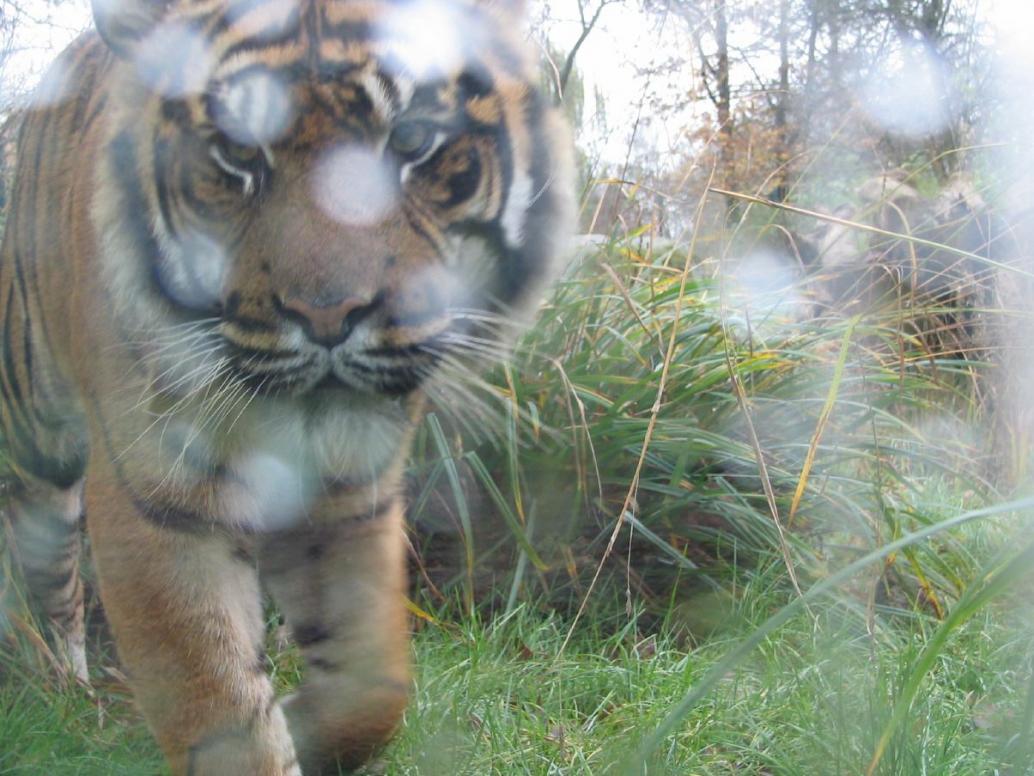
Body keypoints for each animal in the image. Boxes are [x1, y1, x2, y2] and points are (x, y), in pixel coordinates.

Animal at [0, 0, 573, 771]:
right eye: (236, 156)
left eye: (411, 139)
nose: (327, 316)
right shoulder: (160, 503)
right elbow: (218, 702)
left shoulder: (354, 497)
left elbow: (374, 686)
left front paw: (303, 719)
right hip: (36, 441)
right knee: (47, 577)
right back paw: (60, 687)